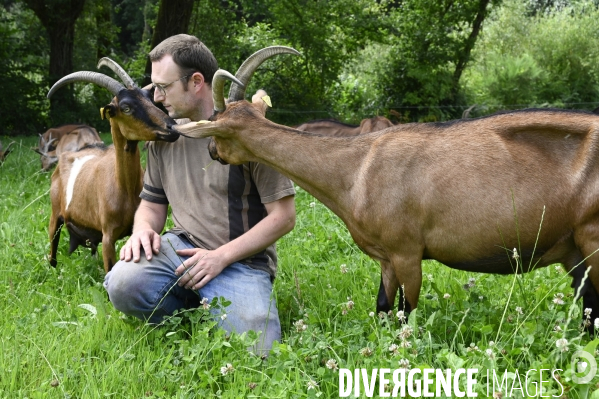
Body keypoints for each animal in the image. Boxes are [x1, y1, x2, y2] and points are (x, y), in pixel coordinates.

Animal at [46, 58, 180, 272]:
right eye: (126, 108)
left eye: (150, 100)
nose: (172, 128)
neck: (125, 188)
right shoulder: (108, 236)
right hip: (55, 214)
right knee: (53, 247)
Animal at [178, 73, 599, 330]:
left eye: (217, 129)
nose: (212, 152)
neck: (356, 169)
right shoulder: (386, 258)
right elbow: (384, 307)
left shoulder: (407, 252)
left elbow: (405, 313)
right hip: (572, 250)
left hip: (592, 237)